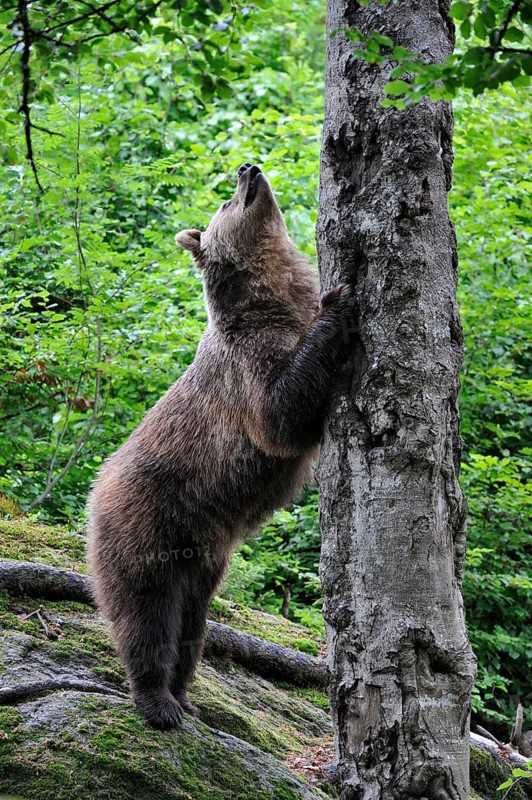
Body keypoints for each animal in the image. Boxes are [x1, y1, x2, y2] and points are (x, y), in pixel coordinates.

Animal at [87, 163, 354, 730]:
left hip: (204, 559)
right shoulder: (246, 368)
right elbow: (281, 415)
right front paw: (339, 301)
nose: (248, 168)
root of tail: (93, 491)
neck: (273, 299)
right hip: (147, 523)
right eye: (226, 203)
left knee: (192, 630)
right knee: (145, 617)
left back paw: (185, 695)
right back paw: (159, 702)